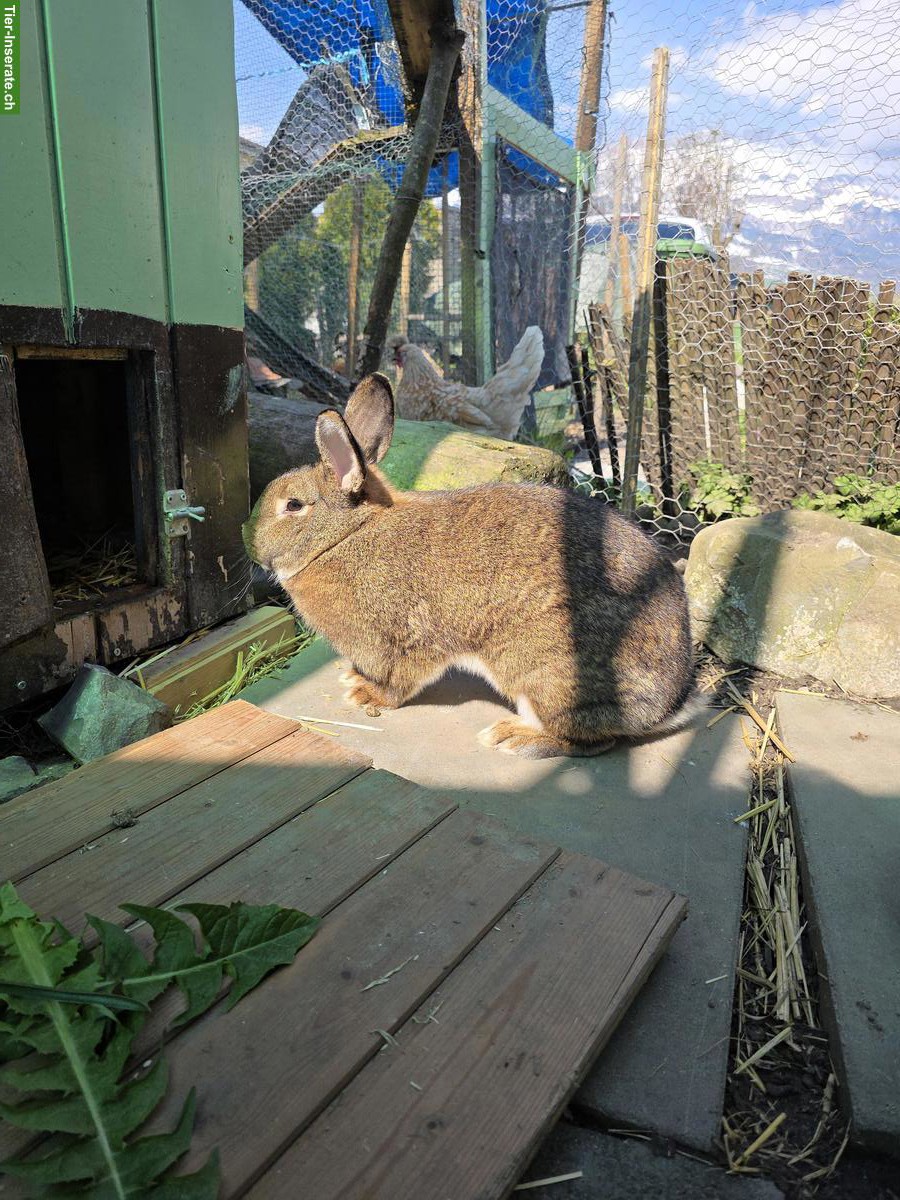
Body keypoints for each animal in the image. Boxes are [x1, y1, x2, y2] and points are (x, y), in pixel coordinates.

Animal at [243, 373, 698, 759]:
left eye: (293, 506)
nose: (247, 539)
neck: (346, 536)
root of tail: (665, 707)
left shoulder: (407, 638)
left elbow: (402, 680)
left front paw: (366, 695)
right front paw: (354, 679)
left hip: (543, 669)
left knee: (592, 741)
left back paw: (514, 738)